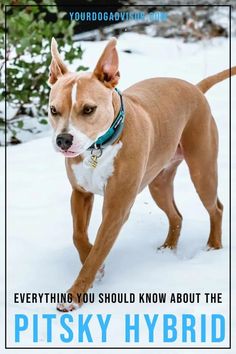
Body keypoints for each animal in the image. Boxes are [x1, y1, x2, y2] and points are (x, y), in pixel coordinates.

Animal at [47, 37, 234, 312]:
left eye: (89, 109)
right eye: (53, 110)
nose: (63, 140)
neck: (100, 146)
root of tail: (195, 88)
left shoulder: (116, 209)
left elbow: (98, 251)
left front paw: (74, 295)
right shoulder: (80, 194)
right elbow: (78, 236)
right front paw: (96, 267)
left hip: (202, 171)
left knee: (216, 208)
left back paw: (213, 246)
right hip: (159, 183)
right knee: (176, 215)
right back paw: (168, 248)